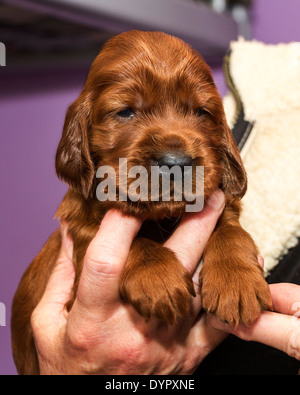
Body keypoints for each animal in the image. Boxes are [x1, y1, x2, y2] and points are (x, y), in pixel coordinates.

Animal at [10, 30, 272, 374]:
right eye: (125, 111)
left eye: (202, 112)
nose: (176, 162)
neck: (161, 219)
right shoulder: (80, 232)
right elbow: (125, 240)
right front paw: (158, 277)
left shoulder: (222, 207)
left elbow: (231, 230)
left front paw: (236, 280)